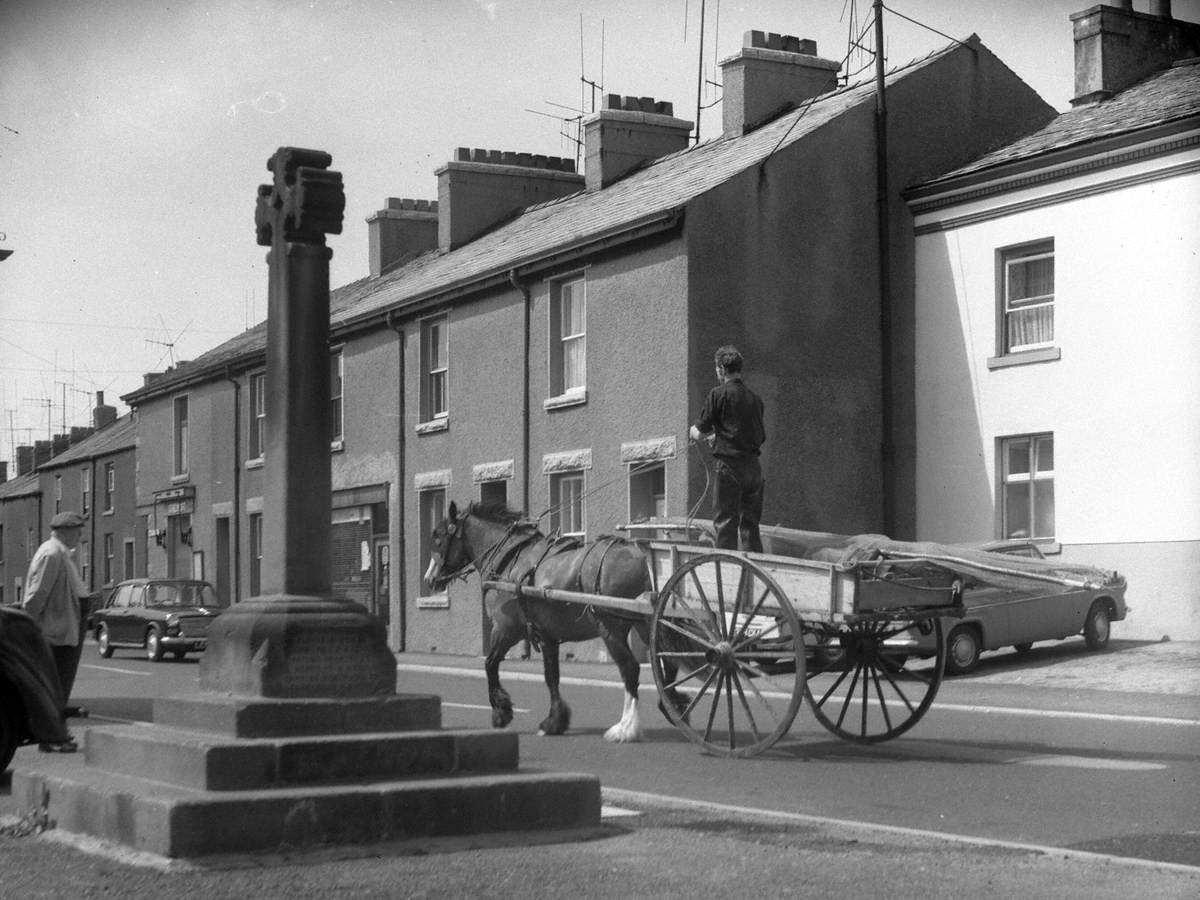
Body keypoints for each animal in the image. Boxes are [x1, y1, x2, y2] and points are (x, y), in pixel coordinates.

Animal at [424, 504, 686, 744]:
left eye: (438, 538)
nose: (429, 580)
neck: (509, 561)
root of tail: (635, 554)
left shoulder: (506, 629)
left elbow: (490, 664)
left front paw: (501, 711)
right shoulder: (547, 636)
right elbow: (552, 677)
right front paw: (554, 721)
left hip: (611, 628)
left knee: (630, 669)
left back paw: (626, 727)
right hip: (644, 621)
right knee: (667, 658)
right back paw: (672, 704)